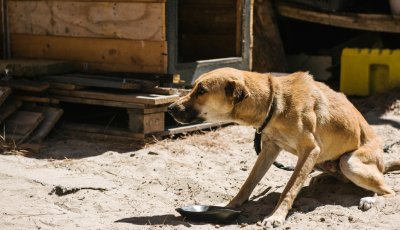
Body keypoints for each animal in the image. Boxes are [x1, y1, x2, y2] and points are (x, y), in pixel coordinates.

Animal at [166, 67, 400, 227]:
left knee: (390, 191)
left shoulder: (310, 151)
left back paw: (370, 200)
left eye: (201, 90)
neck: (274, 100)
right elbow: (249, 182)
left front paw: (276, 216)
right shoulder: (269, 149)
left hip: (349, 162)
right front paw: (232, 204)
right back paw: (322, 178)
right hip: (325, 163)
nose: (169, 109)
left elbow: (289, 188)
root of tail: (382, 163)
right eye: (194, 87)